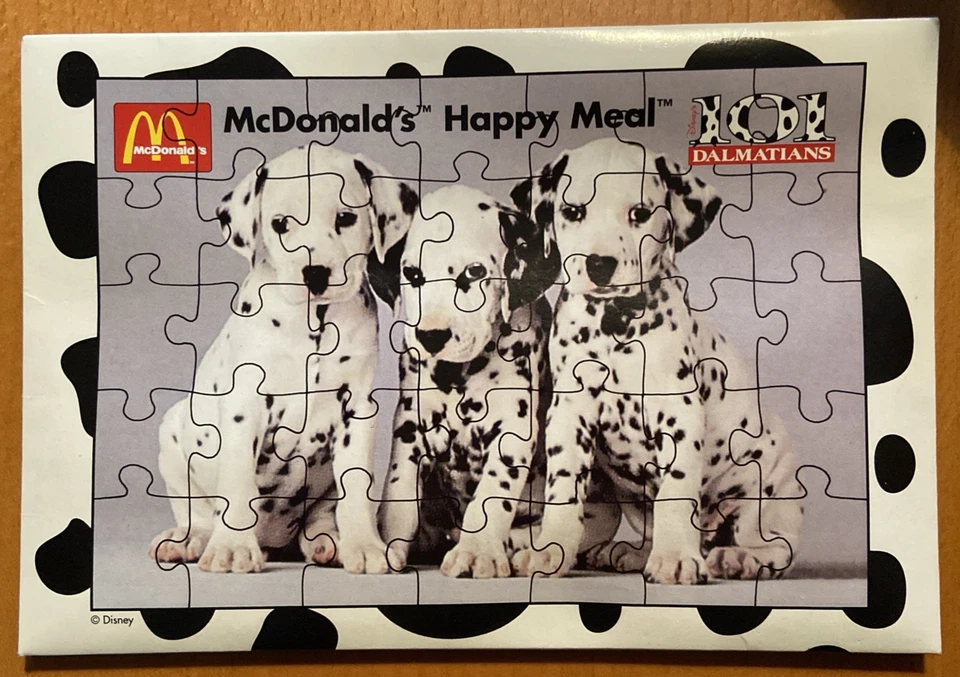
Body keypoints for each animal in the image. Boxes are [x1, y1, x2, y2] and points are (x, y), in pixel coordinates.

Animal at [148, 144, 416, 574]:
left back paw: (327, 542)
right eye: (281, 224)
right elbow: (237, 481)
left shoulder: (357, 409)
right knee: (199, 514)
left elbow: (356, 486)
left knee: (321, 514)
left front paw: (364, 545)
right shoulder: (244, 405)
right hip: (173, 435)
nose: (315, 273)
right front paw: (233, 547)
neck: (312, 325)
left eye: (346, 217)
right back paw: (187, 541)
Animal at [377, 185, 574, 578]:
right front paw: (389, 543)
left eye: (475, 271)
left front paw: (477, 550)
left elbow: (491, 496)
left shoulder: (513, 429)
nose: (431, 336)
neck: (460, 375)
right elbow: (398, 494)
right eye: (412, 274)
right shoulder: (410, 427)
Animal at [509, 138, 802, 584]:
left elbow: (676, 495)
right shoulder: (569, 413)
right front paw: (551, 548)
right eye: (573, 211)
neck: (613, 324)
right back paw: (631, 551)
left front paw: (677, 557)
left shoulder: (678, 413)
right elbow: (563, 488)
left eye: (640, 214)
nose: (600, 264)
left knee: (774, 547)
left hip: (763, 493)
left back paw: (735, 558)